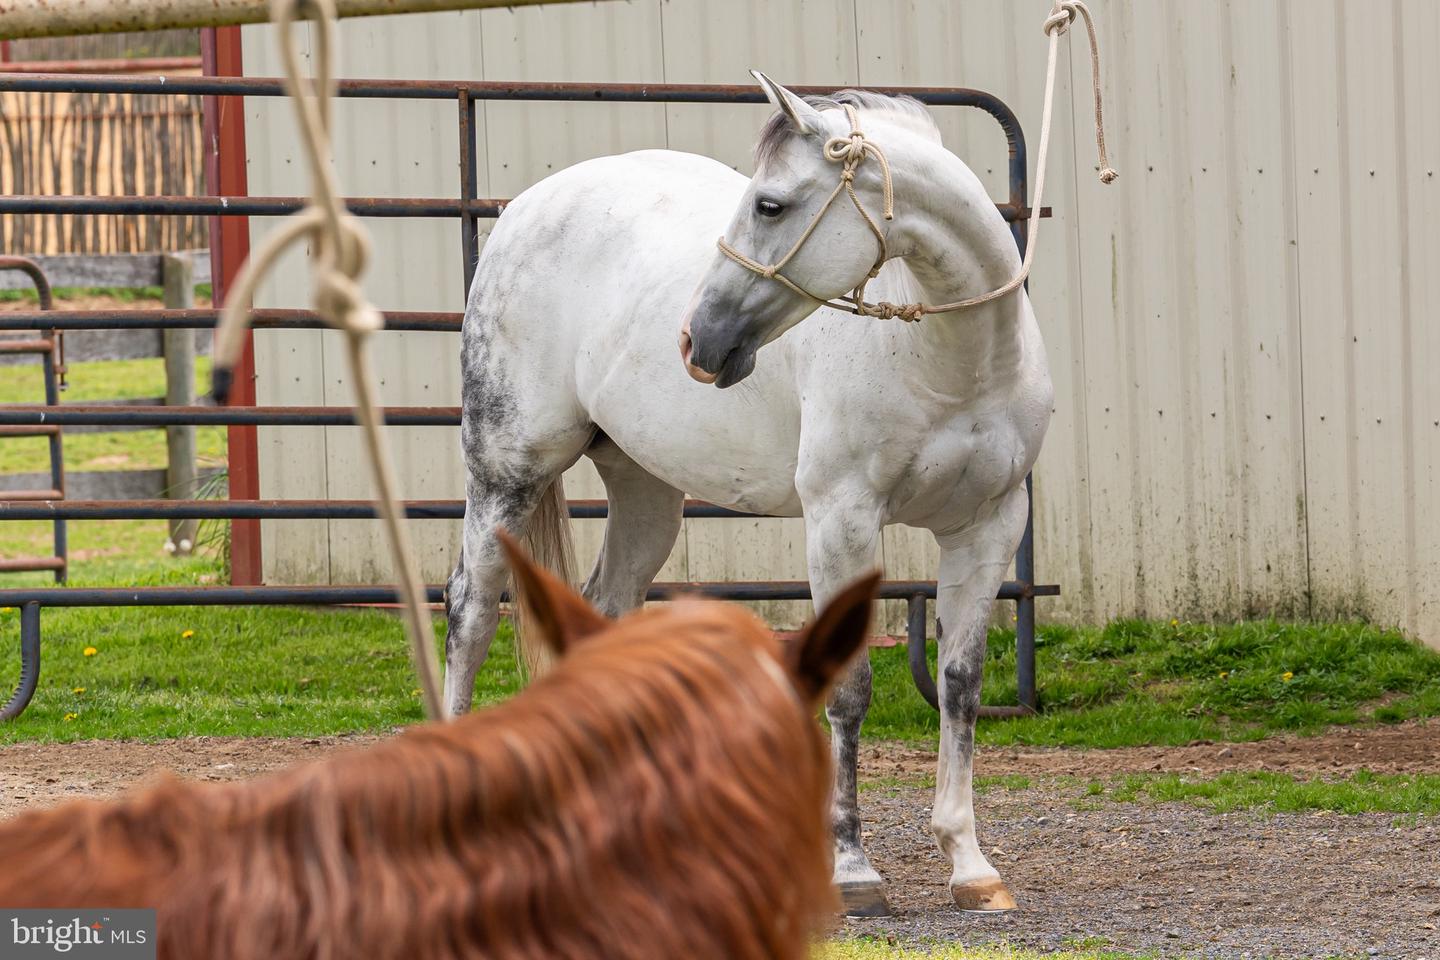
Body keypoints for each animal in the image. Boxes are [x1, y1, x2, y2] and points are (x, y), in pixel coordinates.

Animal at [443, 75, 1054, 915]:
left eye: (769, 205)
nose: (697, 339)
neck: (947, 360)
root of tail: (522, 209)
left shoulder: (987, 527)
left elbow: (960, 686)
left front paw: (969, 864)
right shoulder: (841, 521)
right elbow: (850, 688)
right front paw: (852, 871)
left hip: (644, 492)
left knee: (603, 611)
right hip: (508, 469)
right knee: (469, 611)